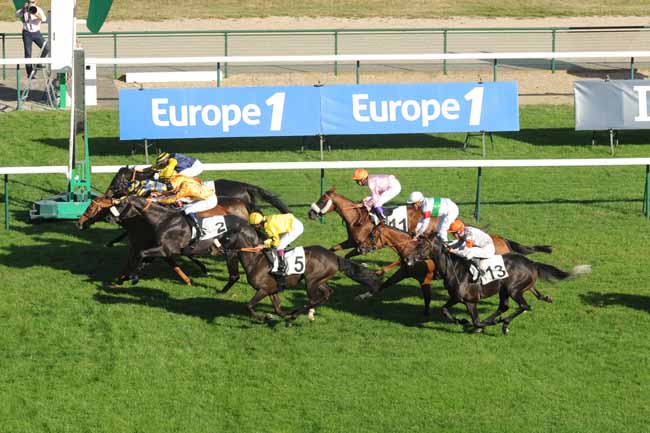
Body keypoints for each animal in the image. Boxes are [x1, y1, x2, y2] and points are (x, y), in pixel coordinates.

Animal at [214, 217, 382, 322]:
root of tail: (335, 257)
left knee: (313, 299)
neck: (255, 260)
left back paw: (300, 314)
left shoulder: (263, 289)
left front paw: (265, 317)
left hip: (311, 281)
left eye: (226, 238)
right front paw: (281, 314)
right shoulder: (272, 289)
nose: (214, 249)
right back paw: (302, 313)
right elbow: (278, 310)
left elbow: (249, 305)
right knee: (327, 293)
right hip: (319, 280)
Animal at [406, 234, 591, 334]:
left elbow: (476, 321)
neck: (454, 268)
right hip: (504, 289)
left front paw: (481, 324)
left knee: (524, 306)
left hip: (513, 289)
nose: (407, 259)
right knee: (504, 306)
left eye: (421, 246)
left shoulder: (470, 300)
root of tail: (532, 264)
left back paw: (504, 323)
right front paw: (462, 321)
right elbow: (444, 310)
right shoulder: (456, 297)